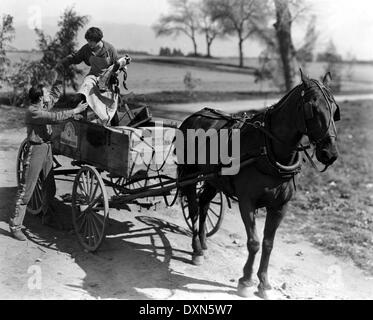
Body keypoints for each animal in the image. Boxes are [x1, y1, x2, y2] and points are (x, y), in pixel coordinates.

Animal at [177, 71, 340, 298]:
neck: (267, 148)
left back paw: (203, 242)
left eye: (334, 109)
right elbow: (253, 242)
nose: (330, 154)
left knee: (204, 204)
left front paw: (263, 283)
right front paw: (246, 281)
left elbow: (268, 244)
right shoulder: (247, 202)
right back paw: (197, 249)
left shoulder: (280, 207)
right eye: (312, 108)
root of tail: (194, 115)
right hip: (190, 174)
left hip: (213, 179)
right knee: (193, 208)